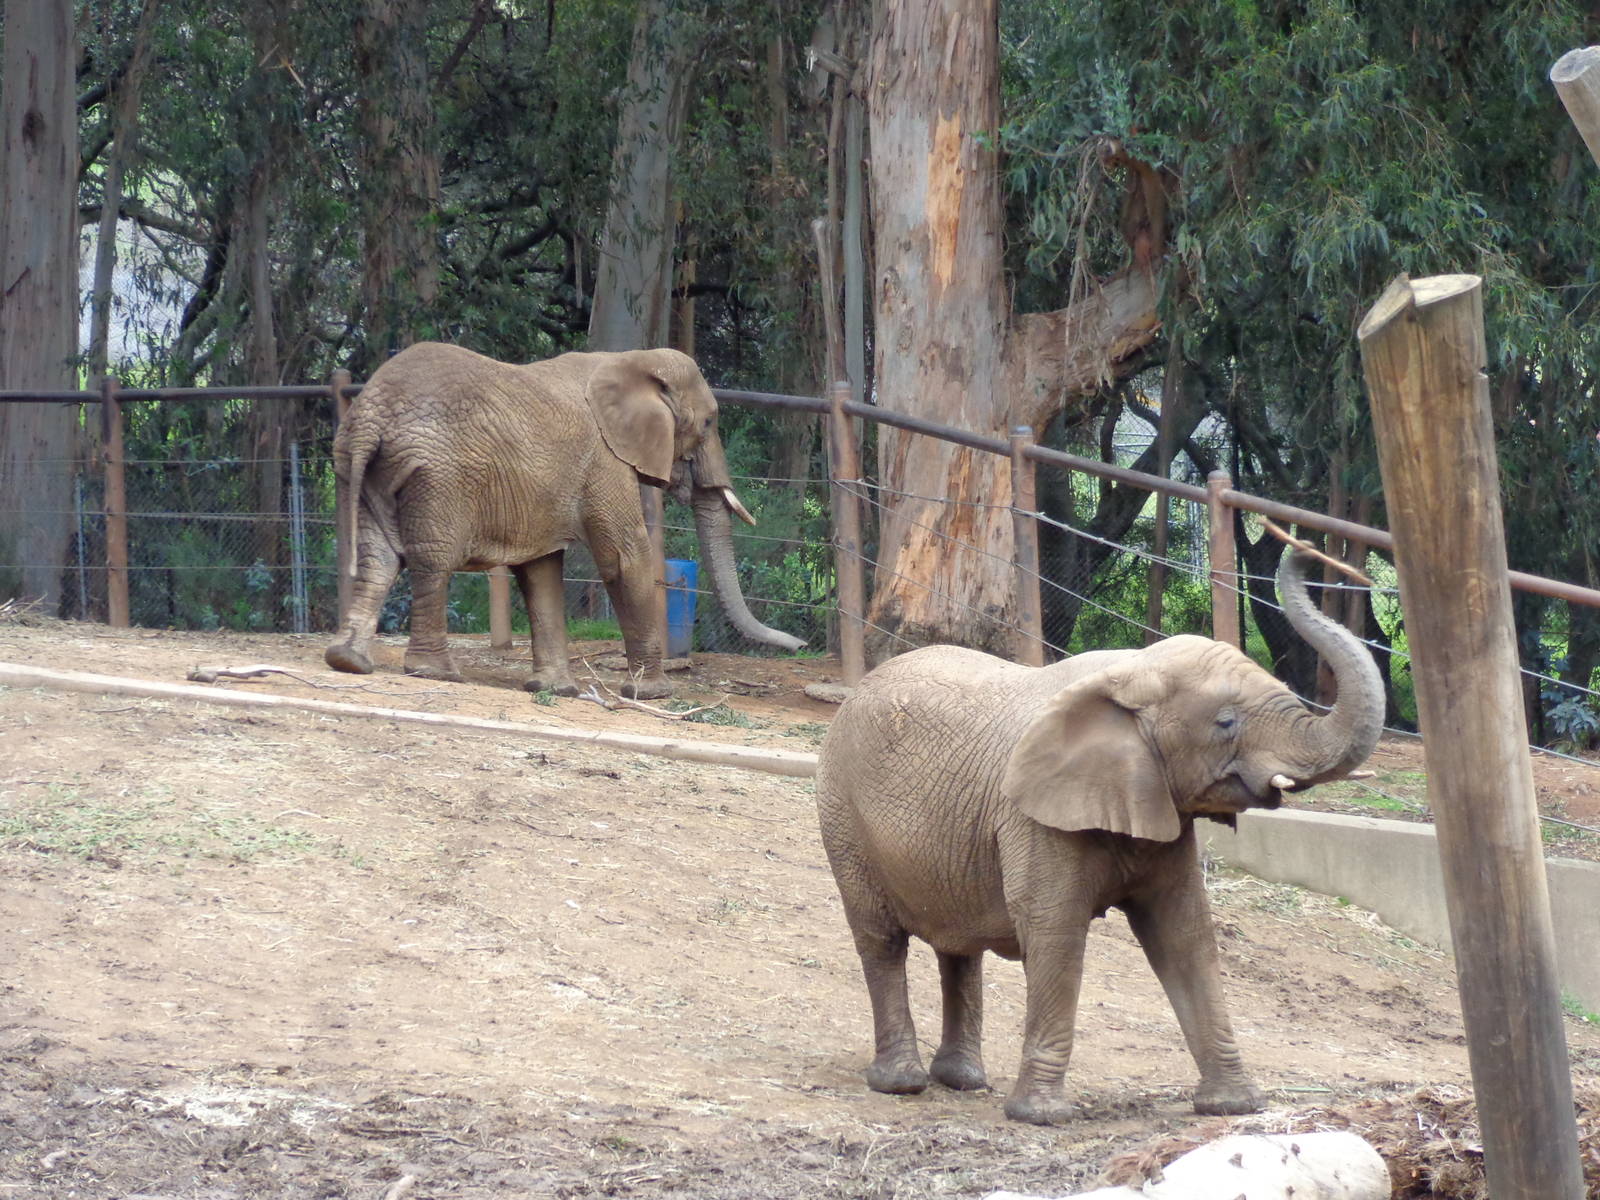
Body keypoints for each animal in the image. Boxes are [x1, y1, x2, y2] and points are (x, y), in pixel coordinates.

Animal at [324, 342, 805, 698]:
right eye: (708, 422)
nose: (800, 646)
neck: (631, 360)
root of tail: (372, 414)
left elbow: (540, 570)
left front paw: (555, 690)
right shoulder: (606, 459)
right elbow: (624, 559)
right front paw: (653, 693)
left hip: (362, 468)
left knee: (378, 559)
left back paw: (349, 661)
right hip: (437, 476)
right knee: (432, 561)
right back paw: (435, 672)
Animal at [813, 549, 1383, 1124]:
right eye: (1225, 723)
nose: (1306, 553)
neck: (1135, 672)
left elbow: (1184, 932)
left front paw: (1234, 1106)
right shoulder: (1033, 815)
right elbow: (1056, 930)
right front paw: (1042, 1116)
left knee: (958, 944)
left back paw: (963, 1081)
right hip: (841, 809)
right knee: (880, 938)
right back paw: (901, 1084)